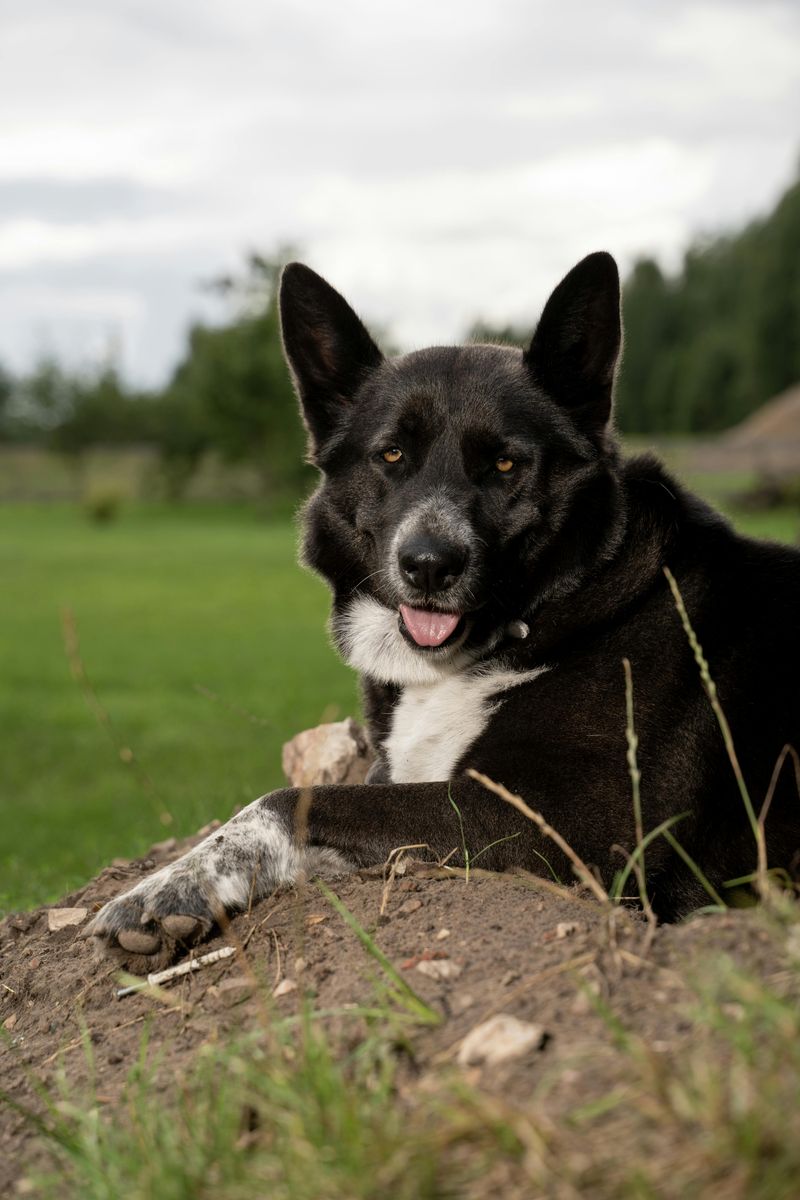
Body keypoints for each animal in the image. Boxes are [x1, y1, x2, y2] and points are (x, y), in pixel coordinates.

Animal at [87, 248, 800, 969]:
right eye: (391, 454)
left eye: (506, 464)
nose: (429, 565)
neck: (530, 620)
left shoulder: (573, 826)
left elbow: (289, 798)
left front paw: (169, 886)